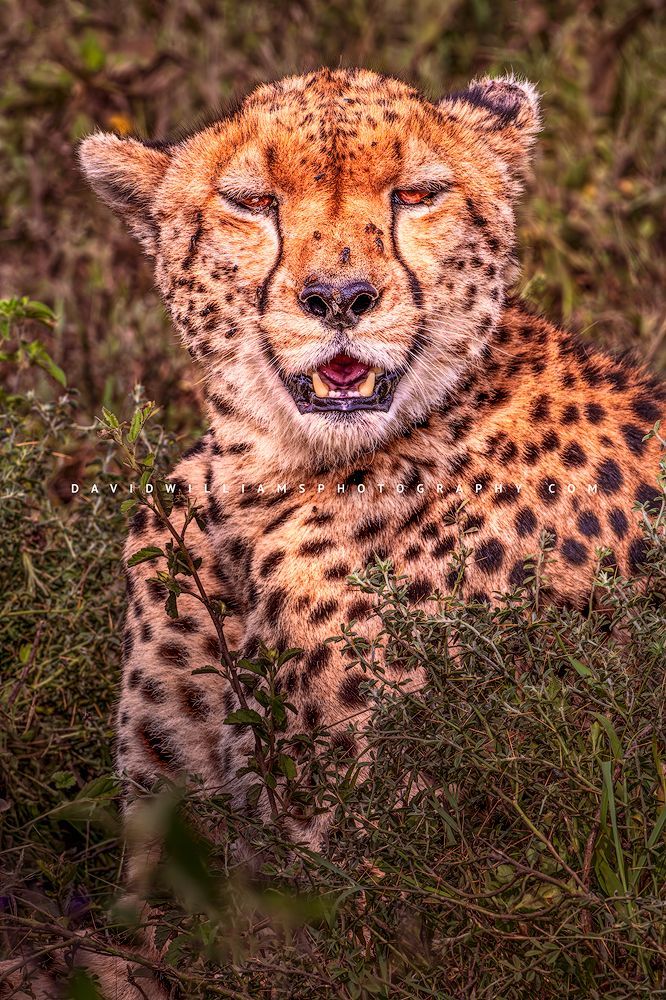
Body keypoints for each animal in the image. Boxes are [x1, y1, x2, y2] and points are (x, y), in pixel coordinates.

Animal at [5, 67, 664, 998]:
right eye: (252, 202)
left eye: (417, 194)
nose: (340, 301)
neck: (262, 482)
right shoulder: (172, 839)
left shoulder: (368, 900)